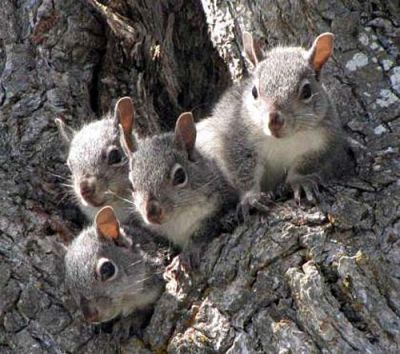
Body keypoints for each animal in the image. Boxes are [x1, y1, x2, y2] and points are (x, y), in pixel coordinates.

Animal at [196, 32, 350, 207]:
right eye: (254, 92)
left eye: (307, 91)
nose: (274, 121)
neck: (283, 140)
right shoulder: (235, 136)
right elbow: (242, 169)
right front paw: (251, 197)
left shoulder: (324, 141)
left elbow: (307, 165)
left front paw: (301, 181)